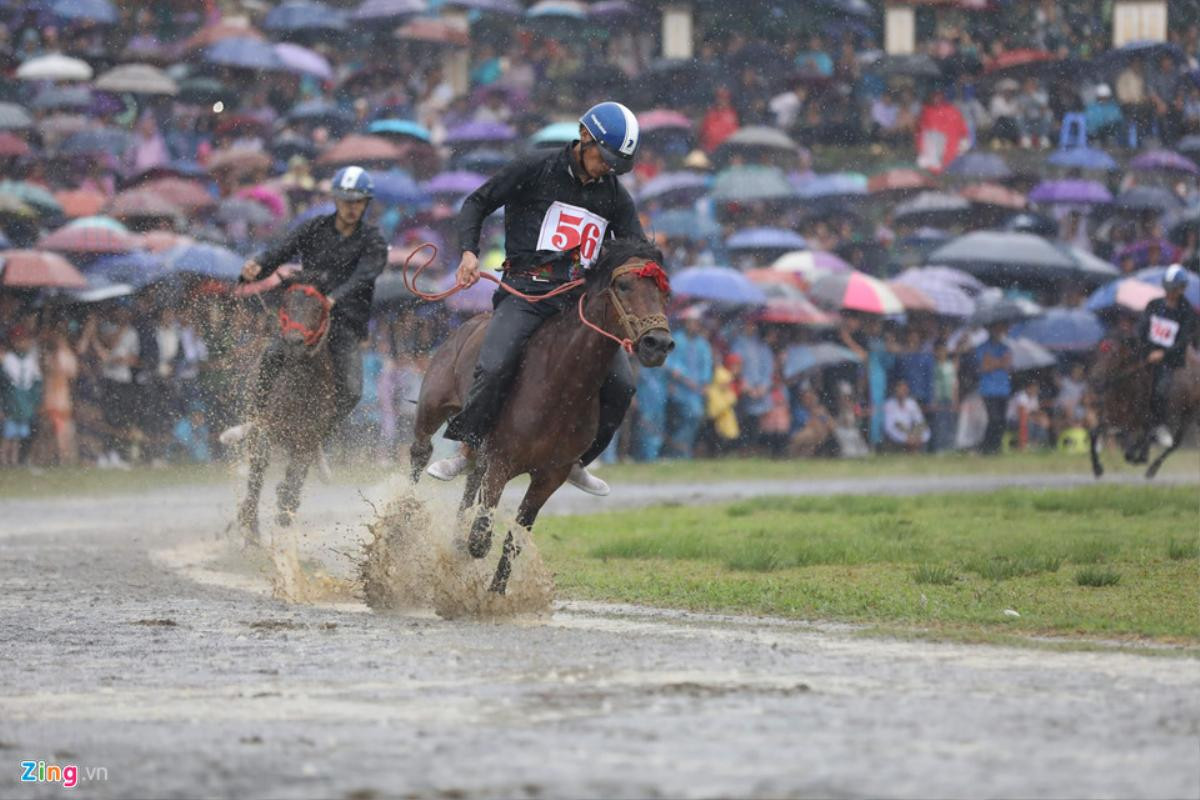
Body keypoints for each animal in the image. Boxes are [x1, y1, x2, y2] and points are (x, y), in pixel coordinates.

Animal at [410, 237, 676, 594]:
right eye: (623, 285)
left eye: (665, 292)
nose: (657, 343)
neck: (560, 383)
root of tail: (466, 325)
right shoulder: (501, 462)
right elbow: (481, 536)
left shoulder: (550, 476)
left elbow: (515, 537)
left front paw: (496, 592)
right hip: (432, 406)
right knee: (421, 451)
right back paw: (405, 518)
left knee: (470, 475)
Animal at [1094, 340, 1195, 482]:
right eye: (1097, 354)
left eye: (1114, 356)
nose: (1095, 378)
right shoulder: (1112, 418)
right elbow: (1095, 432)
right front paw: (1097, 469)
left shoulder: (1135, 422)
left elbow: (1136, 440)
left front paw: (1137, 457)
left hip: (1187, 417)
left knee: (1174, 443)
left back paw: (1151, 468)